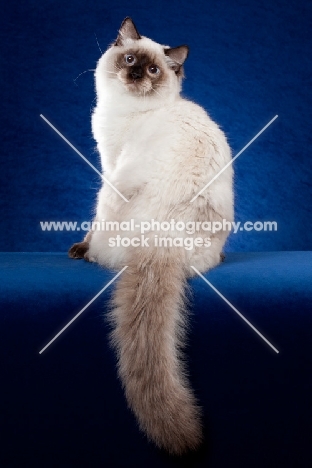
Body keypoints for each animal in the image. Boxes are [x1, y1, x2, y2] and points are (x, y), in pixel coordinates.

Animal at [69, 18, 233, 458]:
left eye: (154, 70)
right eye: (129, 60)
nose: (136, 75)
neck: (124, 109)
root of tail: (164, 242)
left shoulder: (109, 166)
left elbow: (91, 225)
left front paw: (80, 248)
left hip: (112, 193)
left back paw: (87, 254)